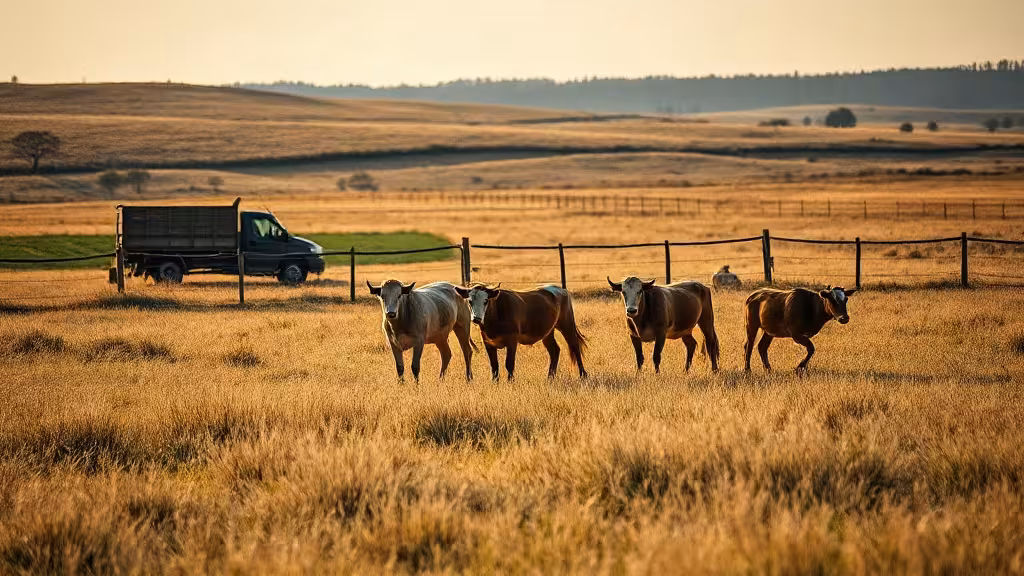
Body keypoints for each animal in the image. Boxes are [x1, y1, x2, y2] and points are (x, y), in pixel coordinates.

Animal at [454, 284, 587, 380]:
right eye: (470, 301)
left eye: (486, 300)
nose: (476, 319)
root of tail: (561, 289)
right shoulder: (488, 343)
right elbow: (494, 365)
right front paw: (495, 382)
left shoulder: (512, 341)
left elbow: (509, 363)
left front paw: (510, 382)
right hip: (548, 332)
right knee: (554, 350)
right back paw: (550, 377)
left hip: (567, 324)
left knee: (575, 346)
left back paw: (583, 375)